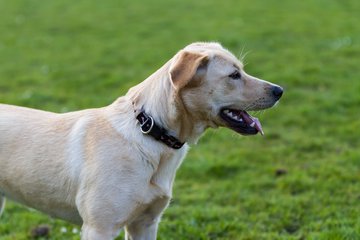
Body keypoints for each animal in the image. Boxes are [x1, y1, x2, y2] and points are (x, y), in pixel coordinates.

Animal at [0, 42, 282, 239]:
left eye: (241, 70)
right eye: (234, 75)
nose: (280, 90)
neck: (151, 132)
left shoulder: (145, 223)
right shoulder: (99, 228)